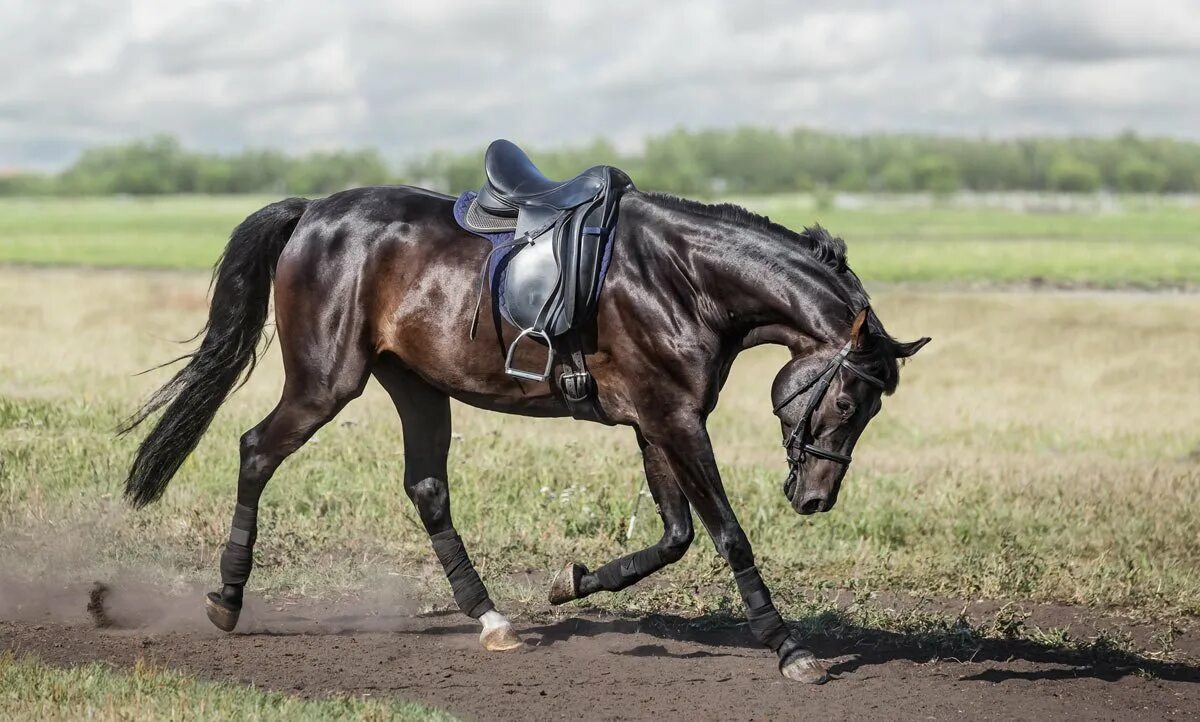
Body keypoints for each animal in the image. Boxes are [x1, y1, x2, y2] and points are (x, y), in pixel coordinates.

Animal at [121, 182, 926, 681]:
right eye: (848, 403)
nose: (815, 499)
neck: (685, 276)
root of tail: (313, 211)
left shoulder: (654, 422)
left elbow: (674, 536)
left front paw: (570, 584)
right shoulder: (675, 419)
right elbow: (727, 534)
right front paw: (787, 646)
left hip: (417, 387)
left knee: (427, 488)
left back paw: (491, 619)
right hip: (327, 382)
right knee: (256, 451)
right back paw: (227, 598)